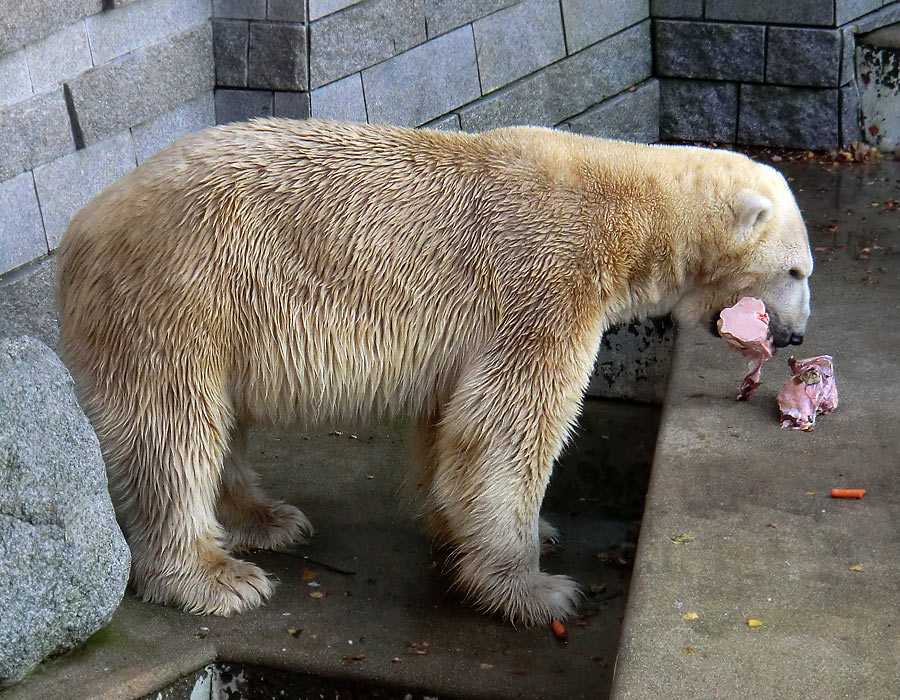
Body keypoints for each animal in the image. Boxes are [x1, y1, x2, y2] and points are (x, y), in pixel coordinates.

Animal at [58, 119, 816, 624]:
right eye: (797, 271)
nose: (795, 335)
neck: (626, 208)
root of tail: (82, 227)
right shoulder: (545, 284)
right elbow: (509, 428)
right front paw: (536, 589)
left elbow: (452, 424)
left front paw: (486, 533)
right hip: (180, 298)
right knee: (173, 430)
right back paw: (217, 578)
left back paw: (268, 518)